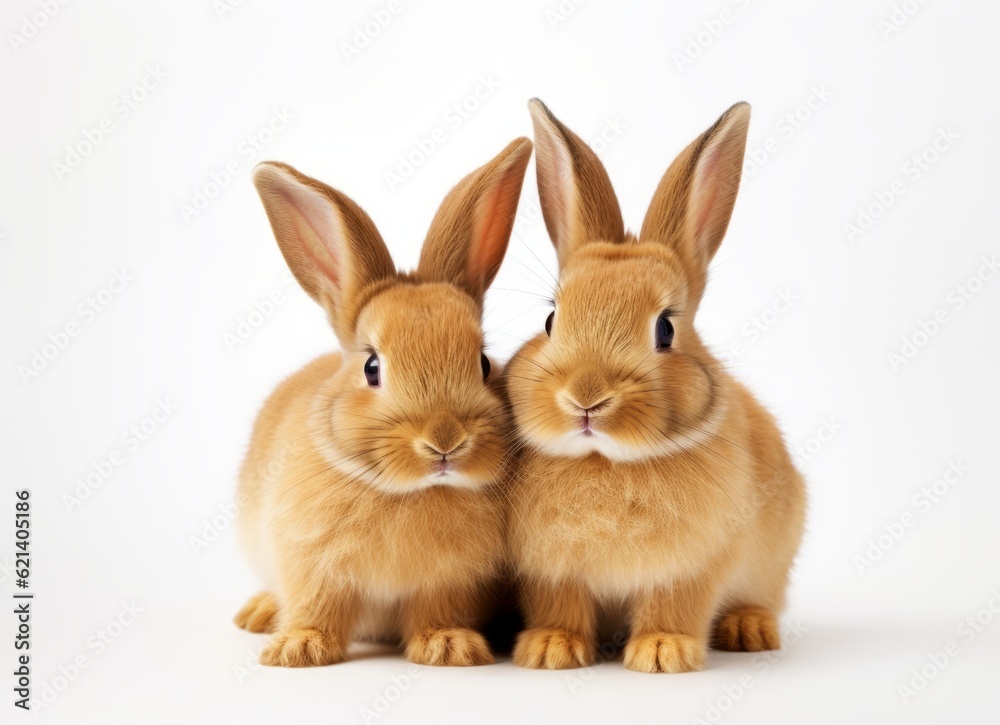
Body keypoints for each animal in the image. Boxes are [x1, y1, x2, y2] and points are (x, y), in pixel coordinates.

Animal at [233, 136, 536, 668]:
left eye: (482, 363)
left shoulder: (450, 581)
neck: (408, 491)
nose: (444, 441)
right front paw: (299, 648)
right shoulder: (311, 563)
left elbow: (437, 610)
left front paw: (449, 646)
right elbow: (317, 605)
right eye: (372, 367)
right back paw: (259, 614)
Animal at [508, 100, 804, 672]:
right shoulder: (550, 572)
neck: (605, 462)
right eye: (552, 320)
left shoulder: (693, 566)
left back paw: (749, 629)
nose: (586, 398)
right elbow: (561, 605)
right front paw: (550, 649)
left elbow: (674, 605)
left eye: (665, 329)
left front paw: (663, 653)